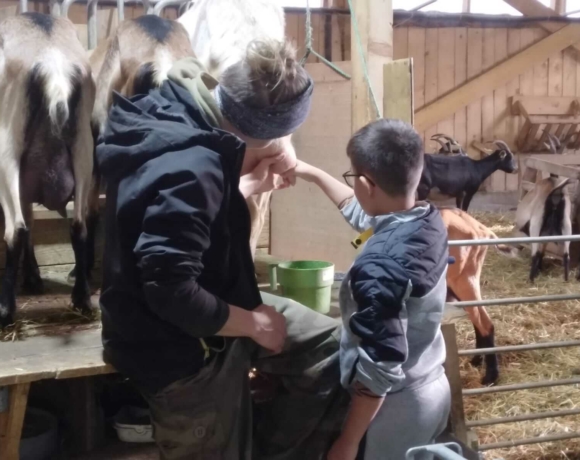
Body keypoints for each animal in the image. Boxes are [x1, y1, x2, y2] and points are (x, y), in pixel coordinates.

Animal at [0, 11, 95, 328]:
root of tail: (54, 64)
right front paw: (32, 277)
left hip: (8, 150)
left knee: (15, 228)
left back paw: (5, 310)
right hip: (83, 150)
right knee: (78, 226)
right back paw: (82, 300)